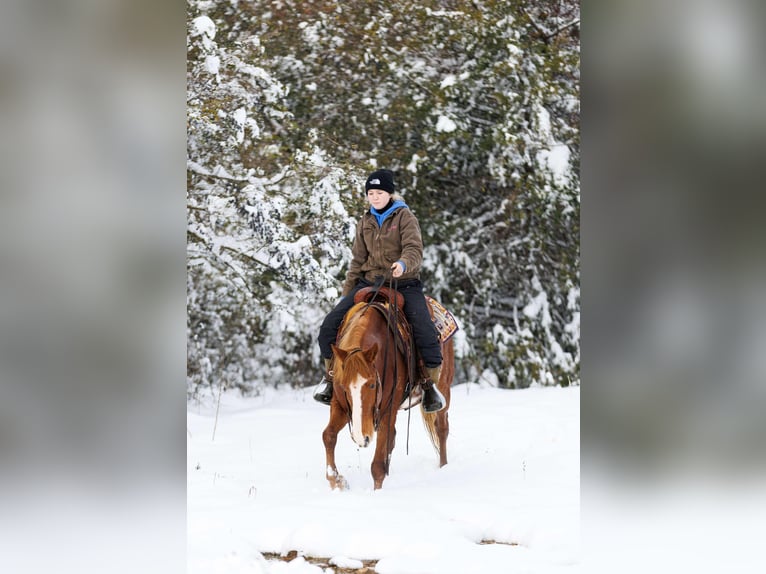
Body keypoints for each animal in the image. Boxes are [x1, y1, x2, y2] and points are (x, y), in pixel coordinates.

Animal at [321, 294, 455, 490]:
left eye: (371, 385)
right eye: (344, 387)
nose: (362, 437)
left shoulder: (388, 408)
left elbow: (377, 464)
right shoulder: (340, 404)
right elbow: (329, 436)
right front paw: (337, 481)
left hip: (444, 388)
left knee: (441, 428)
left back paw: (443, 467)